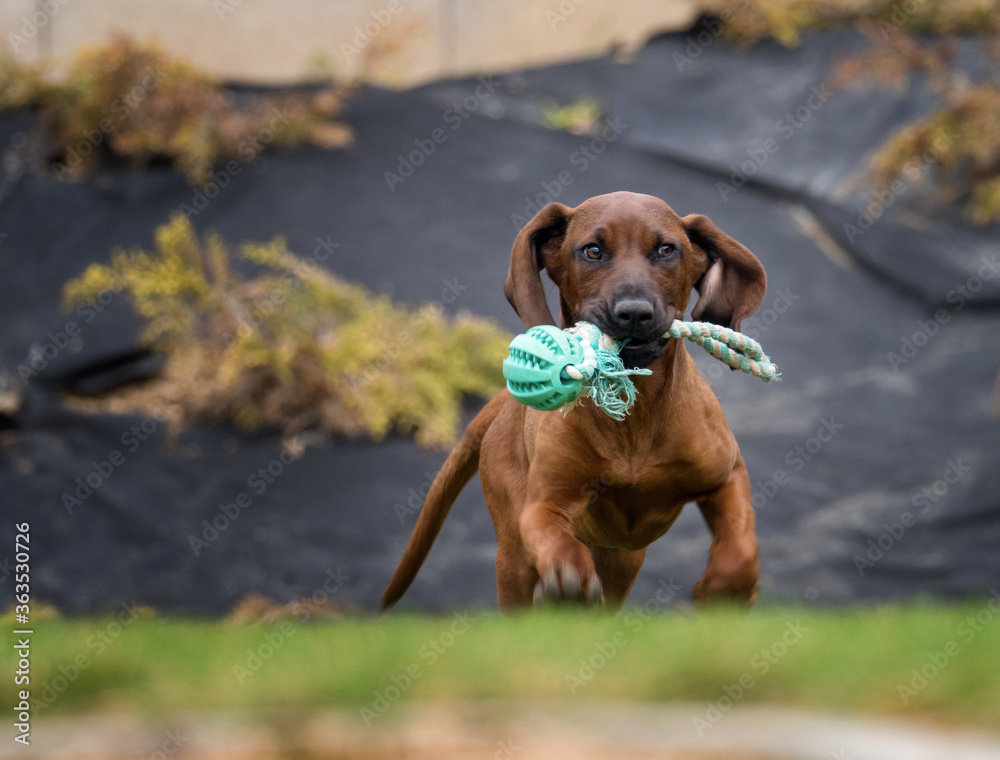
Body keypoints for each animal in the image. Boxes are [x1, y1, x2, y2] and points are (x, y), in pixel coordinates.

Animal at [381, 191, 767, 611]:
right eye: (593, 251)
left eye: (666, 250)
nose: (634, 312)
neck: (636, 415)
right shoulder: (542, 506)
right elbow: (556, 542)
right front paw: (568, 578)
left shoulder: (727, 475)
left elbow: (741, 543)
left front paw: (726, 589)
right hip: (514, 555)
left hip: (622, 561)